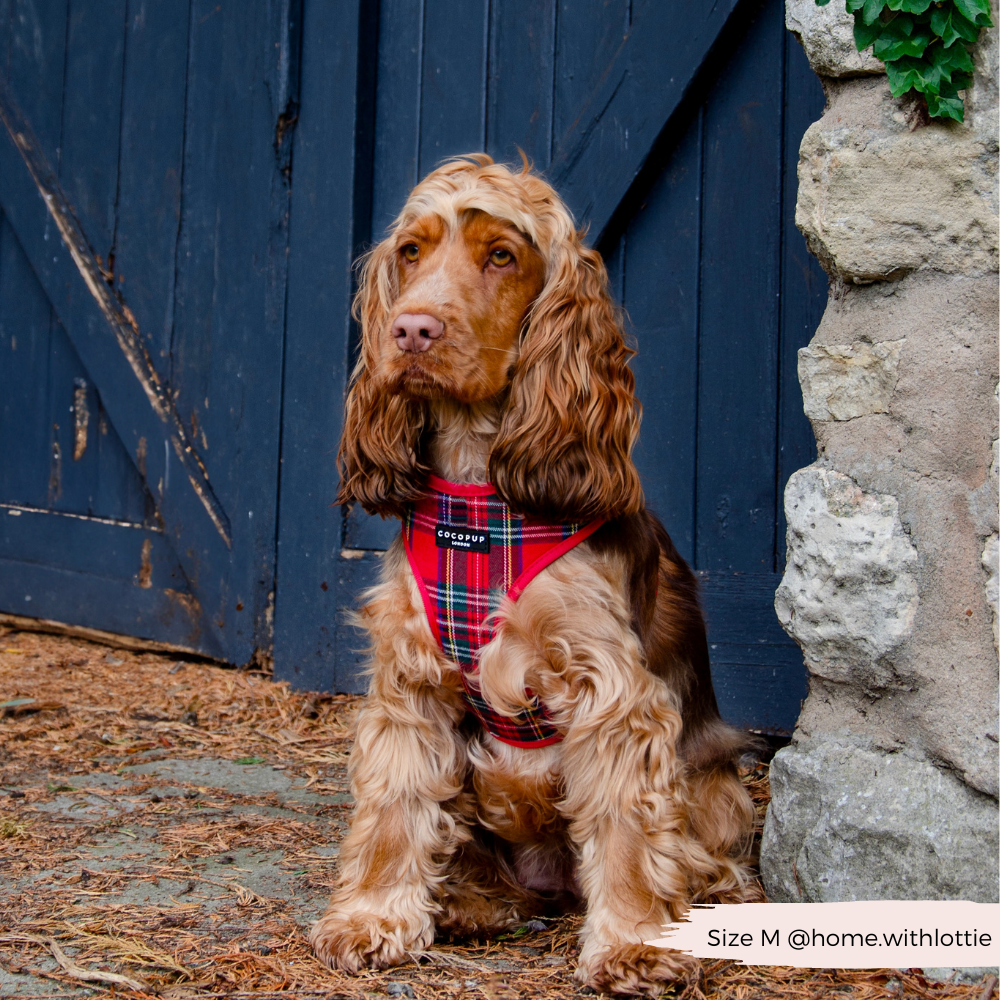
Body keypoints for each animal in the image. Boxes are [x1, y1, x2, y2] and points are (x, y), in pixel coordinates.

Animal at [312, 152, 756, 996]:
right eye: (410, 252)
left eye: (501, 256)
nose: (410, 330)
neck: (480, 500)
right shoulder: (410, 681)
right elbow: (392, 808)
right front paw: (373, 918)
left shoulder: (613, 690)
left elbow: (626, 827)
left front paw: (634, 943)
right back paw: (470, 901)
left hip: (713, 779)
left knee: (707, 858)